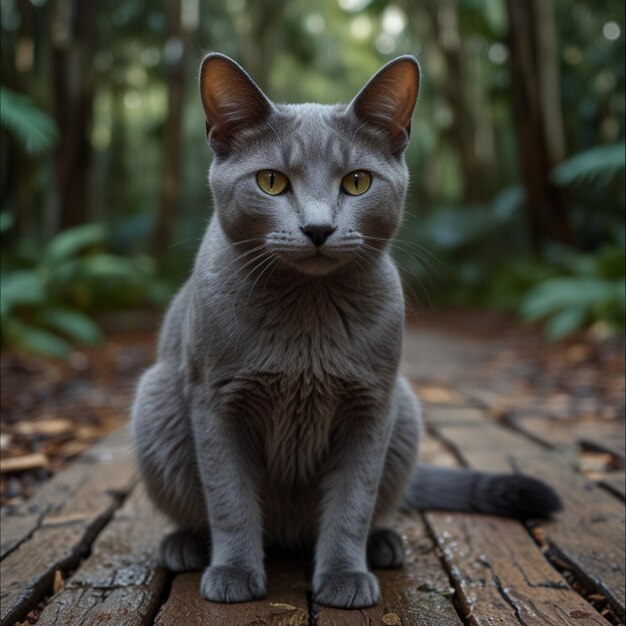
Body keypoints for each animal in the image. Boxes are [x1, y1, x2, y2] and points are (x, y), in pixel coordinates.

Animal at [132, 51, 560, 608]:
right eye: (271, 181)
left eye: (357, 182)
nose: (318, 228)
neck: (307, 321)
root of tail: (287, 534)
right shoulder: (215, 402)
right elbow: (229, 500)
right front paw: (234, 572)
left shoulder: (371, 405)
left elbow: (352, 504)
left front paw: (344, 576)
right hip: (157, 396)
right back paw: (185, 546)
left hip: (406, 410)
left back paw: (382, 543)